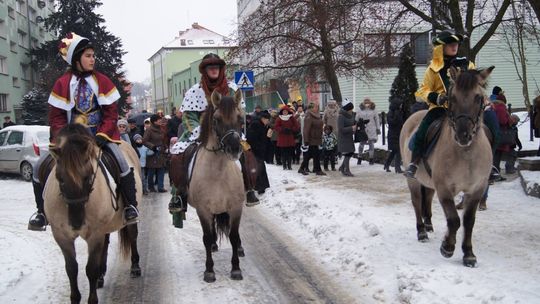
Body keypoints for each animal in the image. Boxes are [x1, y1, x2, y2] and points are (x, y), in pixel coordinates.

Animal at [43, 124, 142, 304]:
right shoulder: (62, 235)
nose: (76, 222)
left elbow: (90, 269)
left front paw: (92, 298)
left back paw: (135, 267)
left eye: (88, 177)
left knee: (132, 235)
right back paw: (102, 275)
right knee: (106, 243)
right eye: (60, 179)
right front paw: (75, 298)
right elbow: (71, 268)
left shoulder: (94, 234)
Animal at [186, 88, 245, 282]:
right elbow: (206, 237)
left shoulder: (236, 208)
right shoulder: (203, 210)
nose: (234, 149)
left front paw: (236, 269)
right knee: (211, 232)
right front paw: (209, 270)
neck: (218, 174)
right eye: (217, 119)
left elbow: (233, 236)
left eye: (240, 118)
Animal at [398, 66, 496, 266]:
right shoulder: (444, 188)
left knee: (427, 198)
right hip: (413, 180)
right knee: (417, 202)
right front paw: (447, 247)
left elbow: (468, 221)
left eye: (478, 97)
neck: (466, 154)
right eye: (452, 97)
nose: (463, 135)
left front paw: (468, 254)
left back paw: (428, 225)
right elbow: (453, 219)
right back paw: (421, 231)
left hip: (429, 182)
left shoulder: (476, 189)